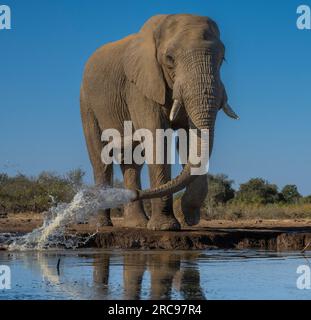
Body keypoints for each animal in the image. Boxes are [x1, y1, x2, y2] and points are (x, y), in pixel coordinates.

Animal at [81, 13, 239, 231]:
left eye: (222, 59)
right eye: (169, 59)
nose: (135, 195)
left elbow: (188, 141)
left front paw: (186, 216)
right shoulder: (139, 87)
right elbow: (157, 137)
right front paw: (166, 227)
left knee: (132, 159)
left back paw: (136, 224)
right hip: (87, 103)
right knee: (100, 158)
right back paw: (102, 225)